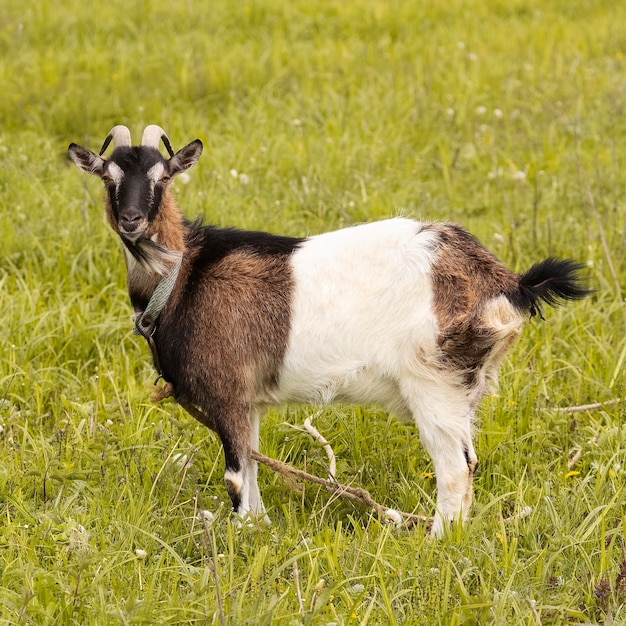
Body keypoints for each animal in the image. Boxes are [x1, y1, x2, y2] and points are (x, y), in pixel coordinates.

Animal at [69, 124, 588, 532]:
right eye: (109, 177)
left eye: (162, 178)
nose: (132, 220)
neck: (182, 274)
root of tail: (504, 282)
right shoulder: (248, 400)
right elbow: (253, 469)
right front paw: (260, 528)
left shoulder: (226, 389)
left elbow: (236, 477)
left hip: (434, 380)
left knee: (455, 468)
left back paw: (437, 540)